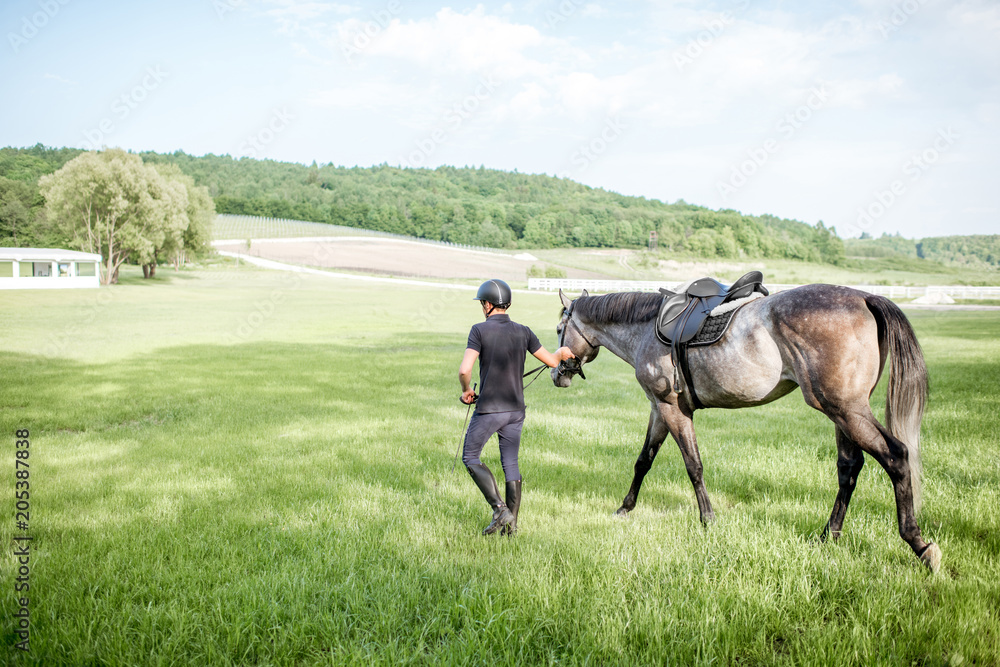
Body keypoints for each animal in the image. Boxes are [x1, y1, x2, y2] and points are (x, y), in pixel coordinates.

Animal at [552, 284, 940, 576]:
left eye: (559, 330)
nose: (557, 373)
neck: (648, 328)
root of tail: (864, 297)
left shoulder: (673, 410)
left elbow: (693, 466)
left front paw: (707, 520)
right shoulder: (659, 410)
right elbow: (643, 461)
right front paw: (625, 508)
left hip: (847, 411)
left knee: (897, 457)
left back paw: (919, 544)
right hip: (842, 412)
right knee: (849, 469)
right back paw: (828, 535)